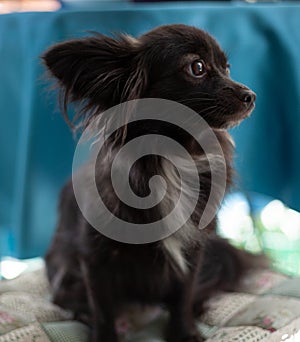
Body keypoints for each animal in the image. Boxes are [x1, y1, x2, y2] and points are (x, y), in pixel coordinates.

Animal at [42, 24, 264, 342]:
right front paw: (105, 335)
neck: (170, 159)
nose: (251, 95)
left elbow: (183, 295)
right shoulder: (95, 259)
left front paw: (184, 332)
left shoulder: (192, 250)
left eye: (227, 68)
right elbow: (103, 307)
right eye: (197, 67)